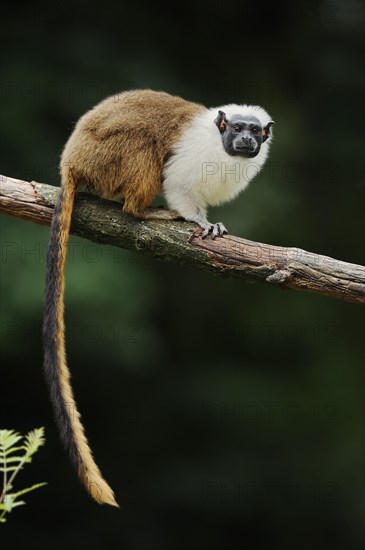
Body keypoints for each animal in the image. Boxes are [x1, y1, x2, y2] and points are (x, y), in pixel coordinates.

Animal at [42, 89, 272, 508]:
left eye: (254, 131)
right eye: (236, 129)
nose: (247, 141)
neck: (222, 149)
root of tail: (71, 161)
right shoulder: (195, 156)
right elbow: (178, 182)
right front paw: (198, 221)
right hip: (106, 157)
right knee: (145, 148)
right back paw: (141, 210)